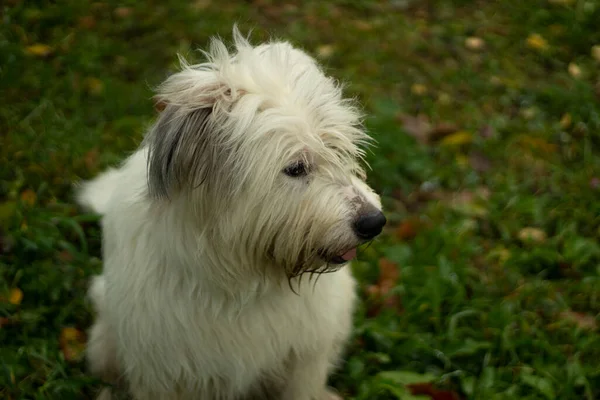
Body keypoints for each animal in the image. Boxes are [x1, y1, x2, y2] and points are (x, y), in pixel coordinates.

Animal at [76, 28, 384, 400]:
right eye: (295, 168)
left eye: (338, 151)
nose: (374, 222)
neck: (241, 278)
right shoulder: (163, 372)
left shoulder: (303, 357)